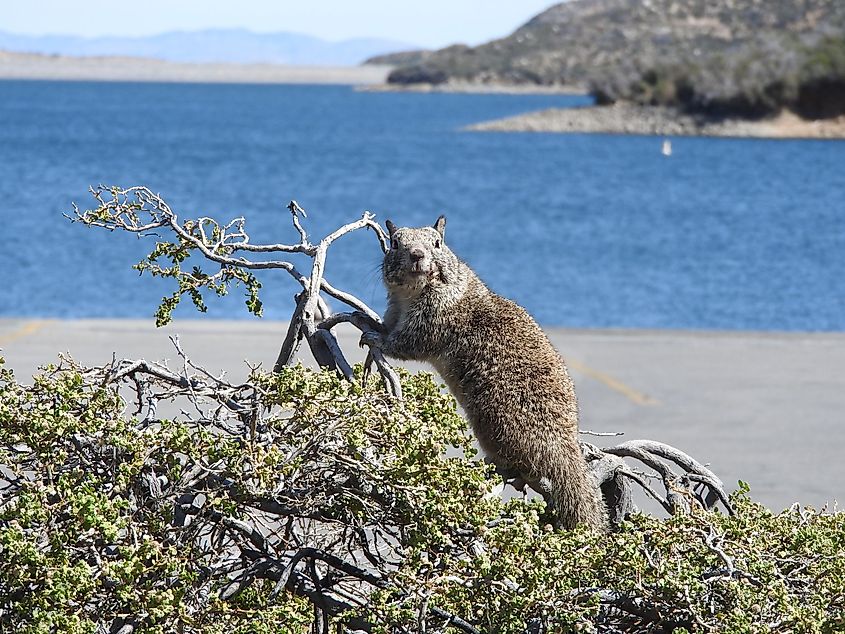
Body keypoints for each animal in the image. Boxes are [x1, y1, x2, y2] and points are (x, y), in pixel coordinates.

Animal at [362, 216, 608, 528]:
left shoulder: (434, 320)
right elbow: (388, 326)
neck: (411, 295)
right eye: (394, 243)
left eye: (437, 243)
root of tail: (563, 447)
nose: (417, 255)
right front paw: (368, 322)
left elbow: (407, 344)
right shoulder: (395, 312)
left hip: (491, 422)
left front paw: (376, 339)